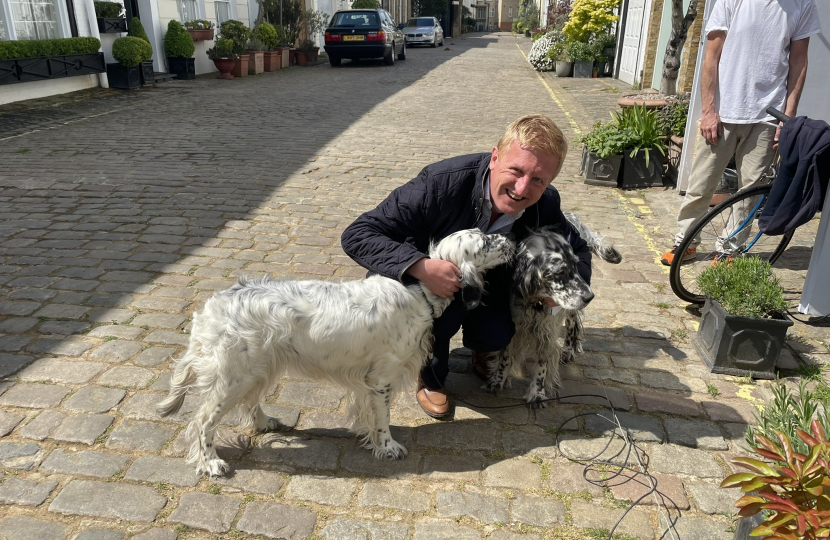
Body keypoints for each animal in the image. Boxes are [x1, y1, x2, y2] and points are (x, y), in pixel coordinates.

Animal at [156, 230, 512, 474]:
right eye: (484, 242)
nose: (510, 238)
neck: (419, 291)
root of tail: (210, 307)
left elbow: (369, 415)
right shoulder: (381, 378)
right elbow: (383, 418)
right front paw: (388, 447)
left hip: (258, 368)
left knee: (250, 402)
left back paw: (266, 422)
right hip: (233, 378)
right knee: (203, 421)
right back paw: (211, 463)